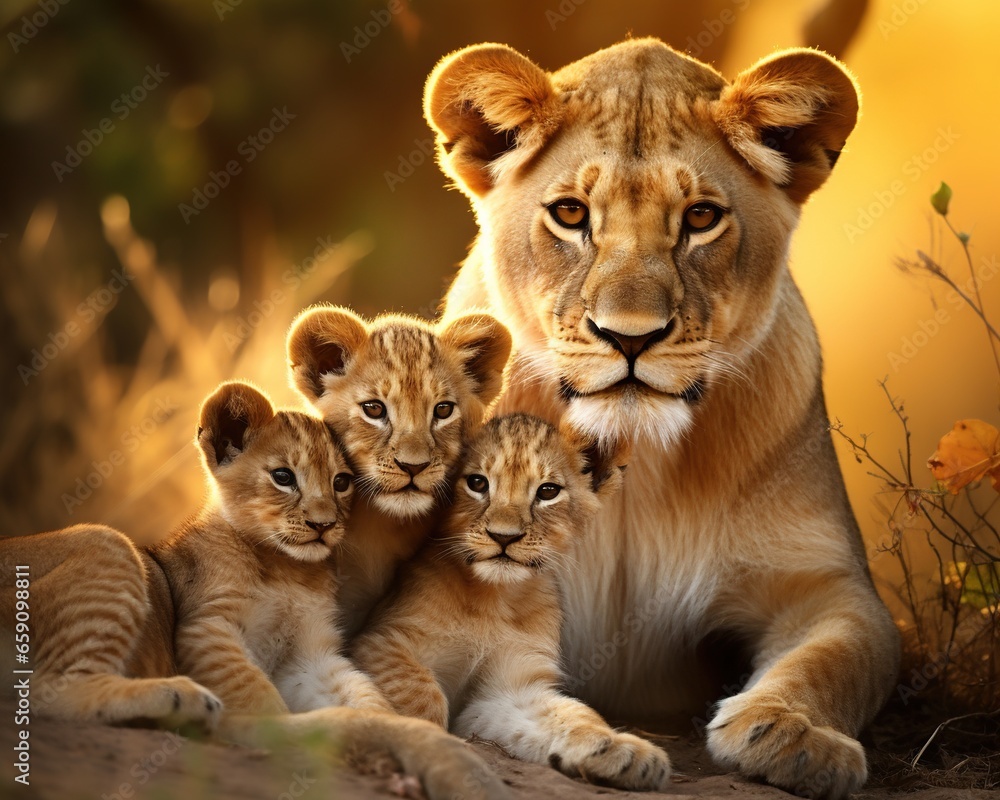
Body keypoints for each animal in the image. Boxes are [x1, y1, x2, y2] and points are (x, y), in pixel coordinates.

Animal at [421, 38, 900, 799]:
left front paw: (794, 735)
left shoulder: (827, 583)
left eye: (701, 218)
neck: (633, 456)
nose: (630, 336)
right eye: (570, 213)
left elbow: (841, 657)